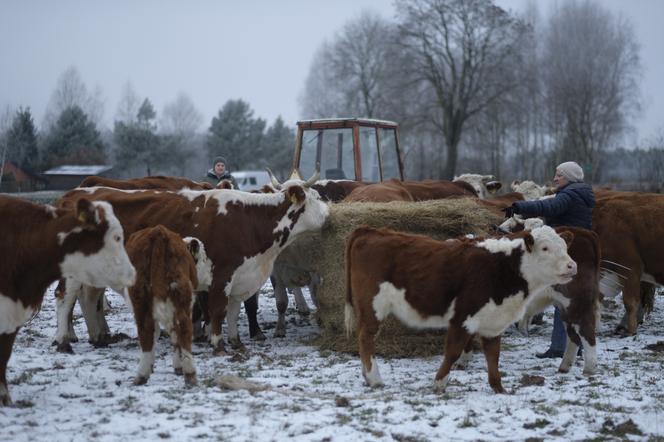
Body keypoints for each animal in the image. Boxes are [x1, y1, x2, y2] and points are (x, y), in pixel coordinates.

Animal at [54, 170, 330, 356]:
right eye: (316, 198)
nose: (330, 214)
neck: (248, 219)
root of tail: (72, 195)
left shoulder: (242, 275)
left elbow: (234, 309)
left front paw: (236, 341)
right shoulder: (221, 275)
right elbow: (218, 310)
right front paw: (219, 344)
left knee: (89, 298)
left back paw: (99, 337)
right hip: (73, 271)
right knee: (65, 298)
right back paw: (63, 341)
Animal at [122, 226, 210, 386]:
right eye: (204, 258)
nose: (211, 273)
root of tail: (159, 232)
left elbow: (156, 333)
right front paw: (178, 367)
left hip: (140, 299)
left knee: (146, 330)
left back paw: (142, 374)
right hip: (181, 296)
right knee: (184, 329)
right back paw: (190, 374)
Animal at [342, 224, 576, 394]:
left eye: (565, 247)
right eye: (545, 248)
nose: (572, 266)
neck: (503, 268)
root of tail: (371, 231)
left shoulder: (493, 322)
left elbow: (493, 356)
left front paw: (499, 388)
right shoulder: (462, 318)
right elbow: (453, 352)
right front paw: (439, 383)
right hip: (373, 305)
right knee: (366, 338)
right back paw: (374, 379)